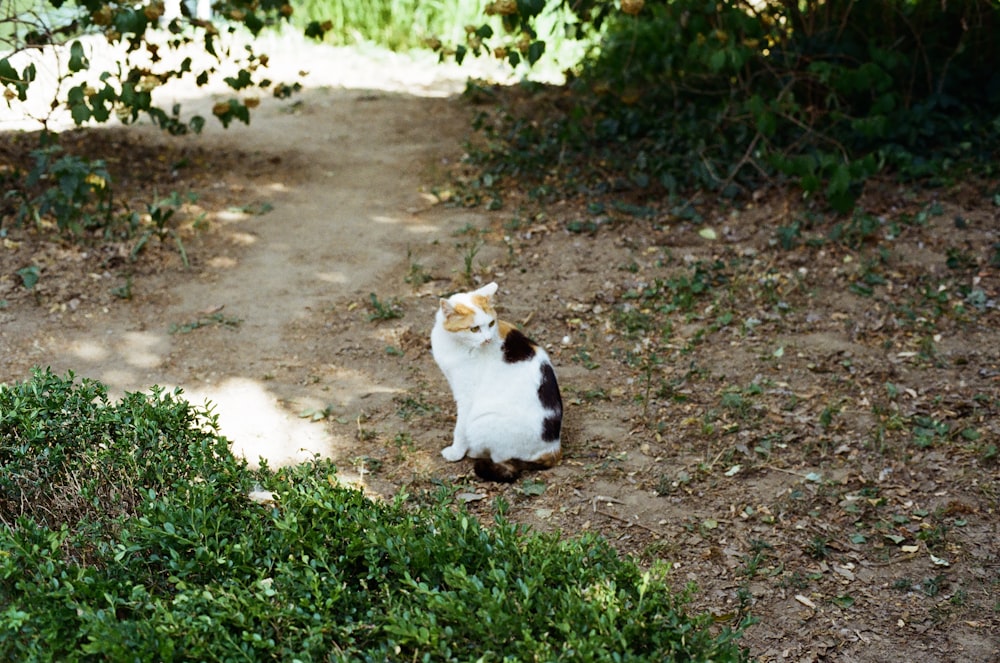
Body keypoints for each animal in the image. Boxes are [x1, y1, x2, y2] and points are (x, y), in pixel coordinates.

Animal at [430, 282, 564, 482]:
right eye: (474, 329)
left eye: (491, 323)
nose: (487, 339)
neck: (453, 342)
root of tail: (554, 449)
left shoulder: (466, 397)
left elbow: (460, 429)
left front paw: (456, 452)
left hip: (482, 421)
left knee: (499, 456)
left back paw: (474, 452)